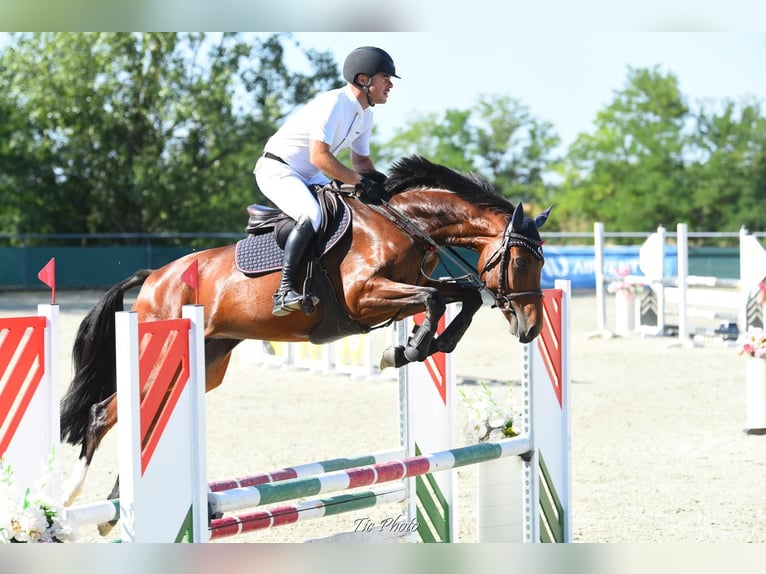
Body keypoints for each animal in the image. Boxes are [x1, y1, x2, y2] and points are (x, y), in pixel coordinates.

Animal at [59, 154, 552, 516]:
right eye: (521, 261)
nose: (530, 328)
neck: (404, 223)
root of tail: (155, 278)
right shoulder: (364, 296)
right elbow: (434, 300)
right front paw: (407, 349)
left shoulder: (407, 290)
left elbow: (462, 296)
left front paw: (430, 345)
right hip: (163, 350)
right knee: (103, 413)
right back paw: (75, 496)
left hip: (206, 363)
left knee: (142, 410)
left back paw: (114, 503)